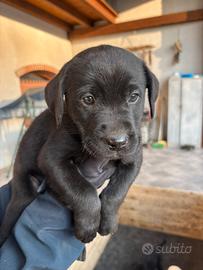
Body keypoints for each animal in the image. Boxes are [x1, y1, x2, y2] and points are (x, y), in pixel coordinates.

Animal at [0, 46, 159, 245]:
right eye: (88, 99)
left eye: (134, 97)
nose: (118, 142)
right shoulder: (51, 158)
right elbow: (83, 191)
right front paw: (88, 226)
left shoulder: (134, 158)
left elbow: (117, 191)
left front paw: (109, 222)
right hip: (22, 193)